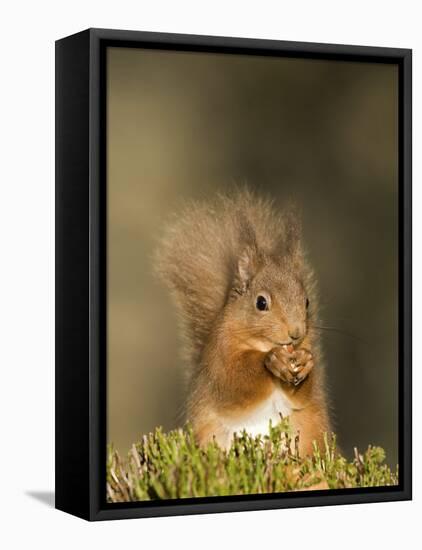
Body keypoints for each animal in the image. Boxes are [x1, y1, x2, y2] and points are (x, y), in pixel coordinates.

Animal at [155, 190, 330, 458]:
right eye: (261, 302)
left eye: (307, 301)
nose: (296, 333)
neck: (261, 343)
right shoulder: (218, 362)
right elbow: (235, 384)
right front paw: (271, 360)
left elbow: (303, 397)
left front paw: (305, 362)